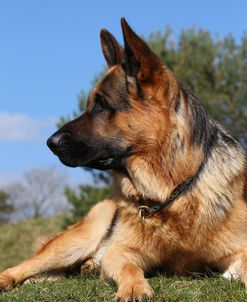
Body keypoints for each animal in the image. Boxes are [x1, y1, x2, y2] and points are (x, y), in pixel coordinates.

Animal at [0, 19, 247, 302]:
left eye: (101, 105)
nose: (50, 143)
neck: (170, 195)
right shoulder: (120, 252)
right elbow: (129, 266)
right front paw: (133, 287)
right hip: (77, 239)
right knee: (23, 266)